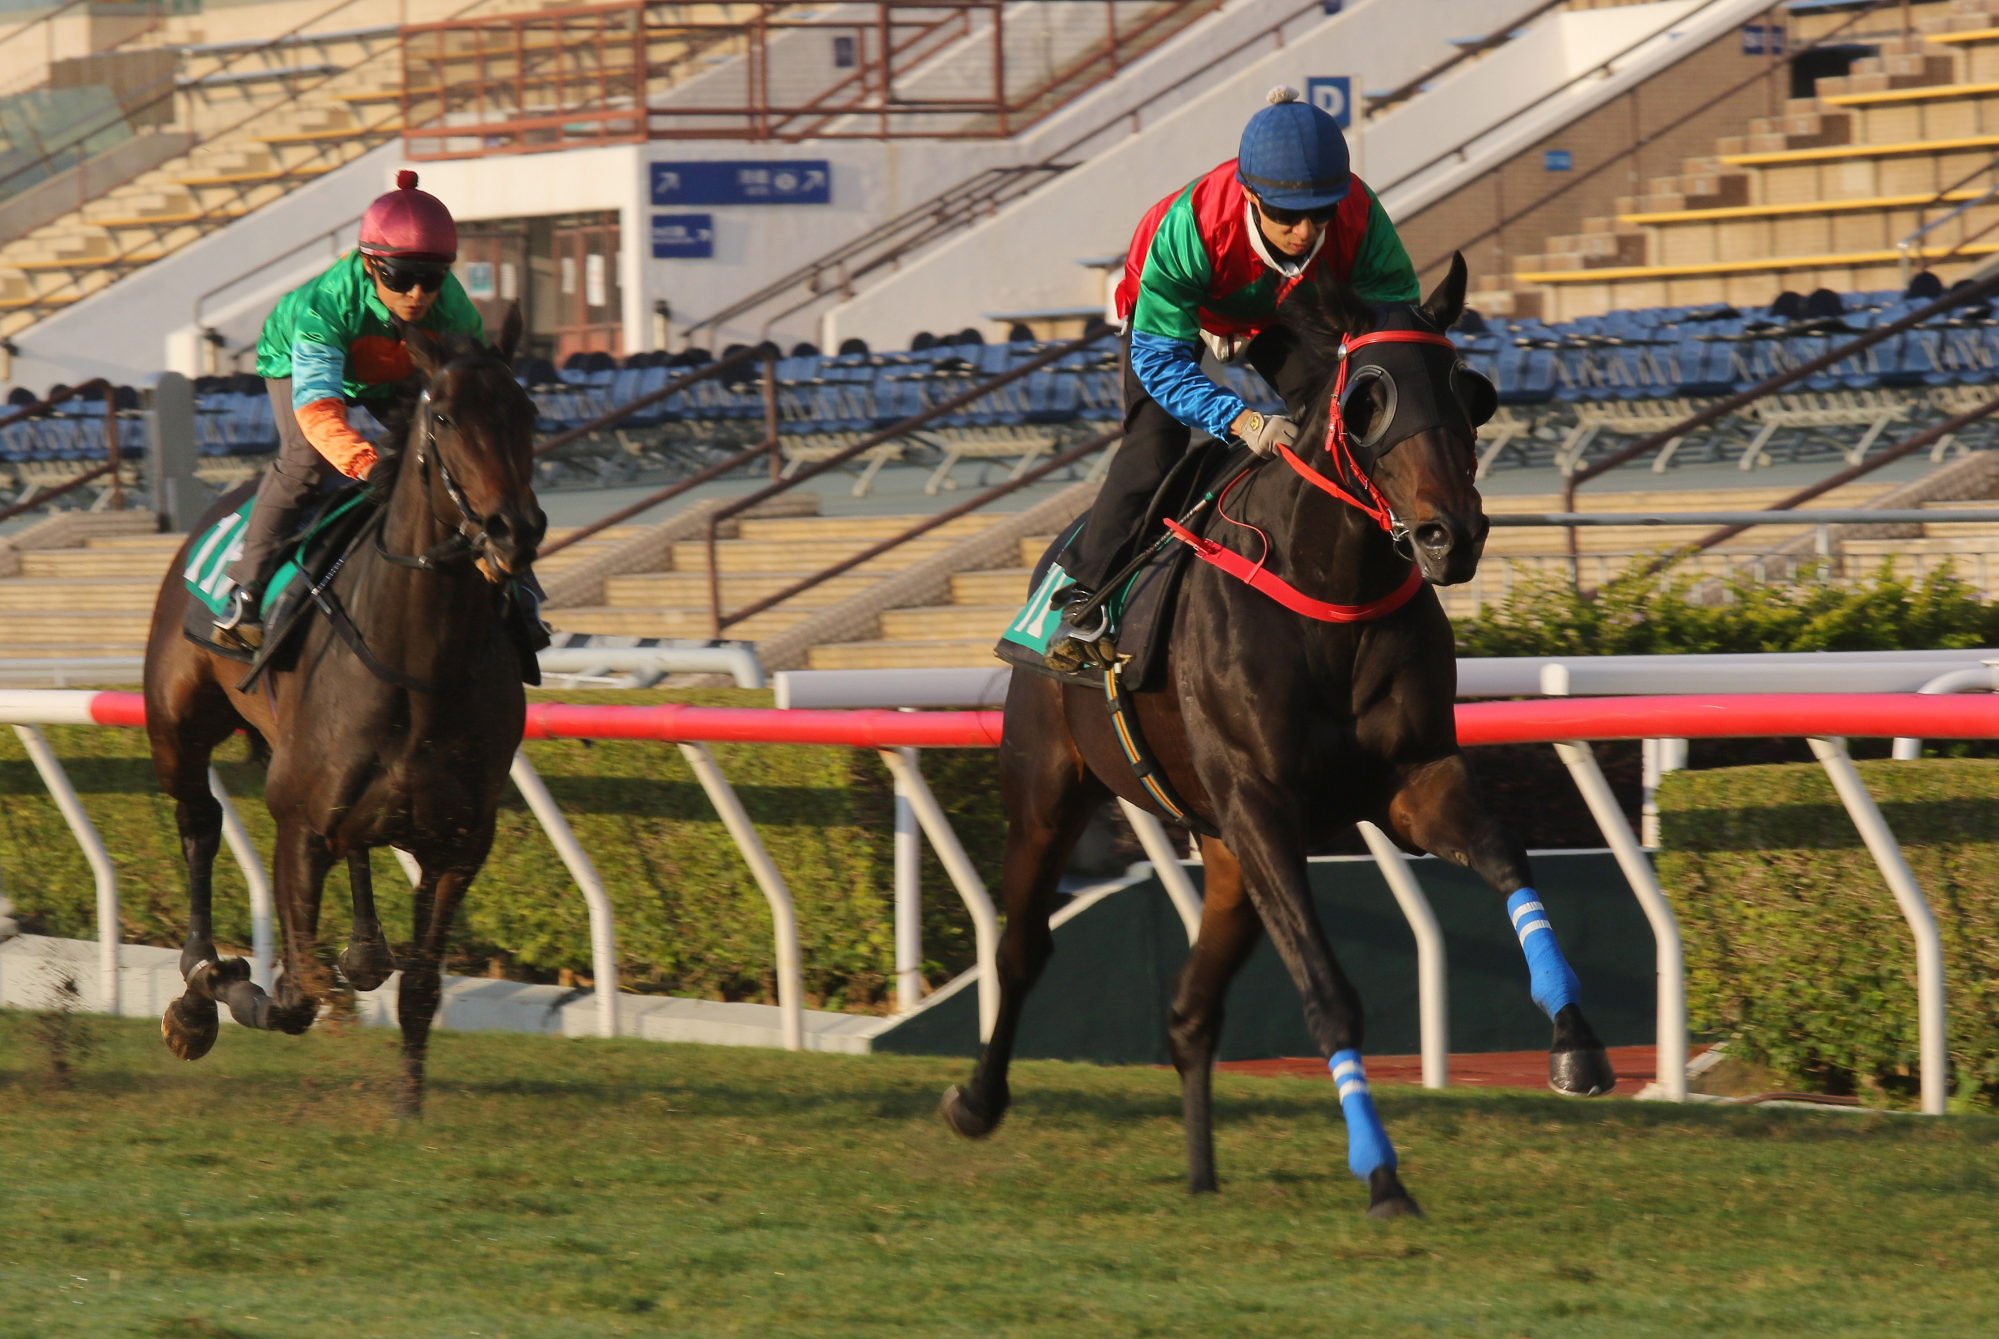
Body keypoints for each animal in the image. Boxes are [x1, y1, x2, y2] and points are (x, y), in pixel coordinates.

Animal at [141, 315, 551, 1119]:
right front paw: (224, 985)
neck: (421, 666)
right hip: (177, 724)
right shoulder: (298, 825)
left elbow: (420, 986)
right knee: (199, 821)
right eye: (444, 416)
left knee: (356, 853)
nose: (512, 531)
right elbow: (296, 995)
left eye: (526, 412)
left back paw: (361, 952)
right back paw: (199, 982)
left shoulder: (462, 844)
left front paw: (409, 1106)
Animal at [943, 257, 1615, 1223]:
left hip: (1223, 854)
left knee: (1188, 1010)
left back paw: (1199, 1171)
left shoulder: (1412, 779)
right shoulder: (1262, 806)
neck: (1331, 587)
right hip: (1047, 792)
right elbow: (1328, 993)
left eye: (1468, 388)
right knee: (1022, 945)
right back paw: (977, 1100)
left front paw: (1574, 1040)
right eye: (1367, 397)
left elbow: (1508, 860)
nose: (1450, 534)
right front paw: (1381, 1174)